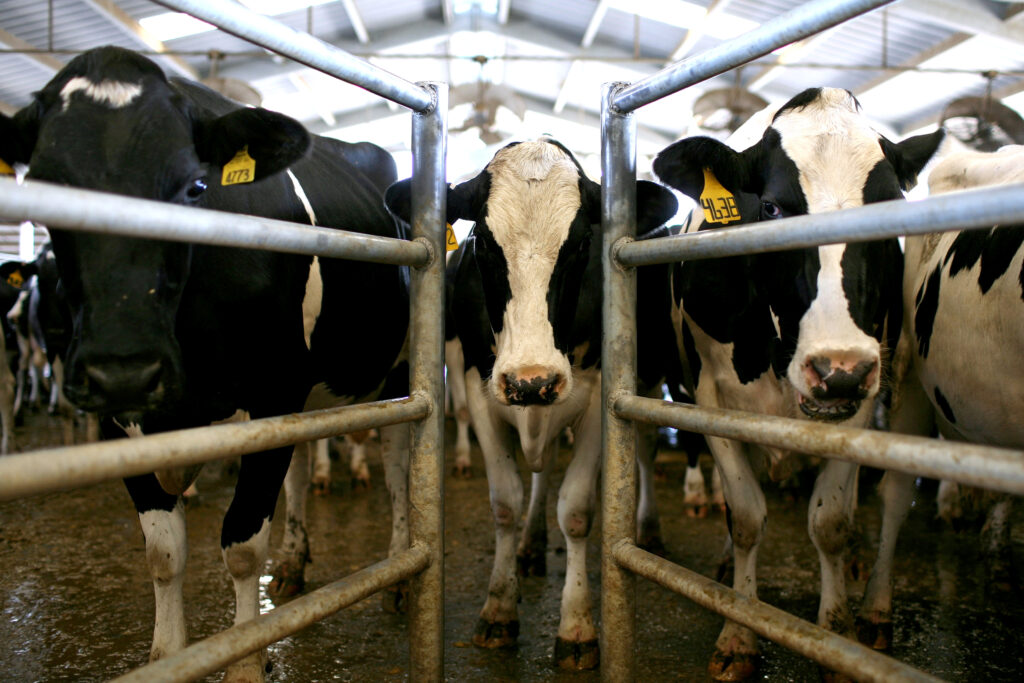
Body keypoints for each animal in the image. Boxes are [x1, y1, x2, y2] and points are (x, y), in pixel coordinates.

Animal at [0, 46, 411, 682]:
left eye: (196, 186)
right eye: (43, 185)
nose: (124, 368)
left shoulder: (271, 394)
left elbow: (240, 545)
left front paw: (245, 660)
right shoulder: (119, 421)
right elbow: (164, 551)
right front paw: (168, 654)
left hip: (398, 375)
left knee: (397, 467)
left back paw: (396, 572)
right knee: (299, 470)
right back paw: (293, 562)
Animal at [386, 137, 679, 669]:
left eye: (580, 243)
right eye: (484, 242)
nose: (530, 381)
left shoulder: (598, 395)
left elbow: (577, 511)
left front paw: (577, 627)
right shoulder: (480, 387)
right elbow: (506, 502)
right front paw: (498, 609)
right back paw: (528, 545)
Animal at [653, 87, 944, 680]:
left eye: (889, 207)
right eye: (771, 208)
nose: (838, 368)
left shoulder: (862, 400)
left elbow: (830, 521)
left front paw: (836, 638)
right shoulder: (709, 398)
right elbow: (745, 516)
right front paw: (739, 633)